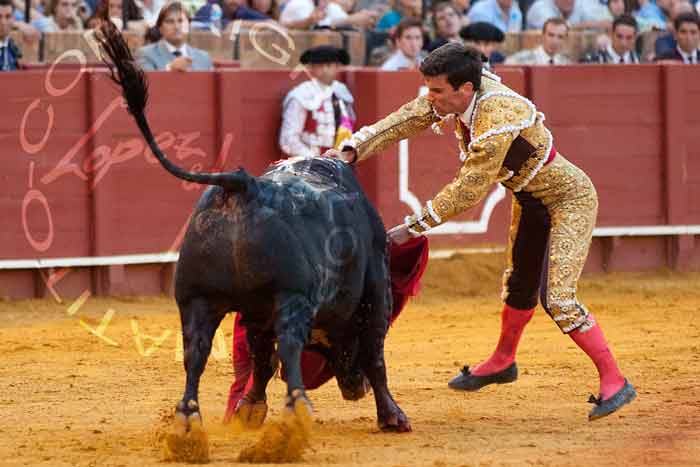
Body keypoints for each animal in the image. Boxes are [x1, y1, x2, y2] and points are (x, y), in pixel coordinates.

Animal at [95, 22, 410, 461]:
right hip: (292, 298)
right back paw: (294, 419)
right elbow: (373, 352)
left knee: (196, 355)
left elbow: (261, 359)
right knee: (290, 350)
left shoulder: (254, 311)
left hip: (196, 300)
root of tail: (242, 184)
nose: (354, 389)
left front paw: (249, 409)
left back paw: (187, 429)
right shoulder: (373, 293)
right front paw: (392, 416)